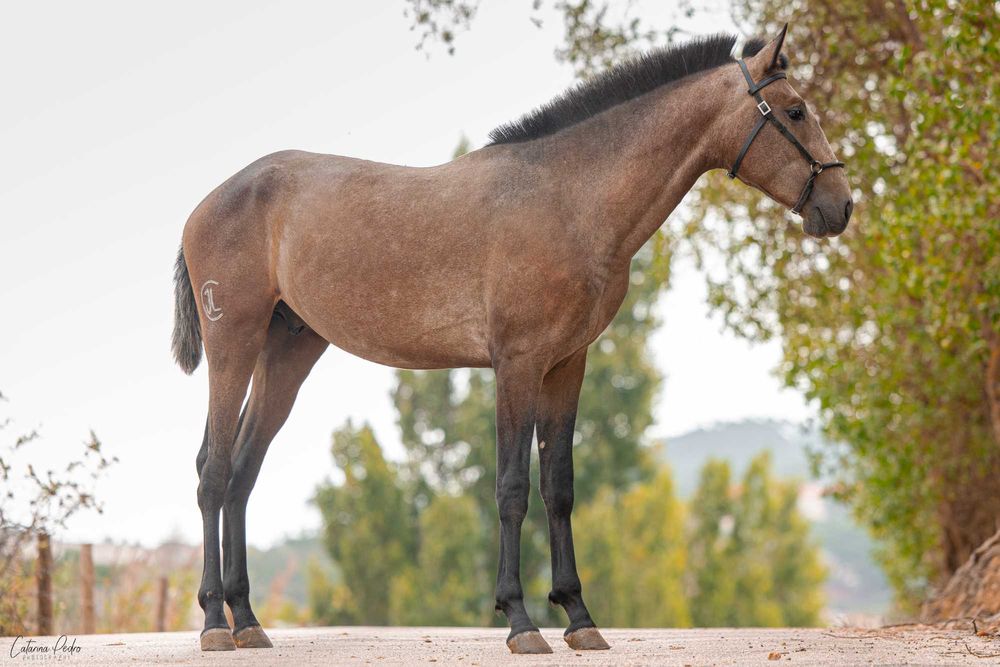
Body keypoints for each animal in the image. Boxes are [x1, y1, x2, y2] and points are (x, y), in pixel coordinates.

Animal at [172, 25, 851, 654]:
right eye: (795, 111)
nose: (841, 207)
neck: (568, 199)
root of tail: (209, 202)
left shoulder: (566, 365)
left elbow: (559, 487)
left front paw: (578, 617)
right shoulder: (517, 364)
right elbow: (512, 489)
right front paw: (520, 620)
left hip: (287, 350)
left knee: (242, 471)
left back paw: (248, 621)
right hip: (233, 344)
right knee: (213, 471)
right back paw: (214, 624)